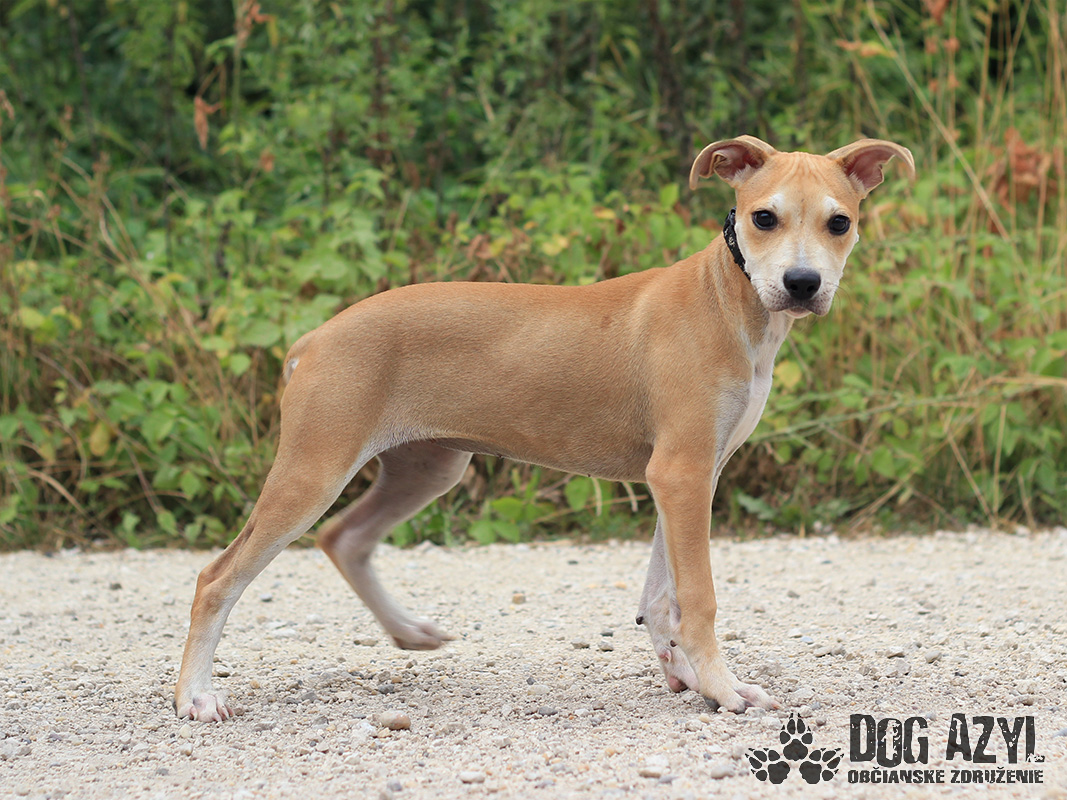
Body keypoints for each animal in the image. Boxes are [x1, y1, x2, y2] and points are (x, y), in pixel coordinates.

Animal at [175, 135, 914, 721]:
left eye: (839, 222)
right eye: (764, 217)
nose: (802, 283)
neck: (726, 299)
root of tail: (314, 339)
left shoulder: (687, 475)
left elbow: (661, 596)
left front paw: (686, 674)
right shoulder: (680, 473)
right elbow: (697, 597)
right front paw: (724, 689)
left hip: (427, 467)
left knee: (346, 538)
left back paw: (410, 632)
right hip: (314, 468)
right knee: (218, 577)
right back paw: (196, 696)